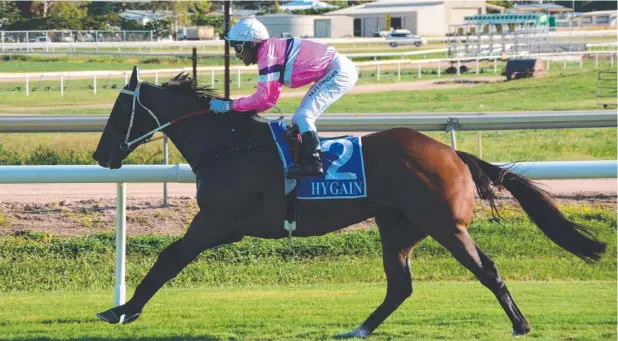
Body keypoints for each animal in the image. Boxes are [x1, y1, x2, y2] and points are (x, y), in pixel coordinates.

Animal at [94, 67, 604, 338]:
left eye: (120, 110)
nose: (100, 156)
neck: (230, 146)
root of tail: (451, 152)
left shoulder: (216, 223)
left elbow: (167, 259)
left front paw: (121, 310)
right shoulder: (218, 225)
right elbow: (169, 260)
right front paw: (121, 309)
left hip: (445, 225)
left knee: (487, 270)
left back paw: (520, 324)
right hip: (397, 226)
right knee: (400, 285)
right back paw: (359, 328)